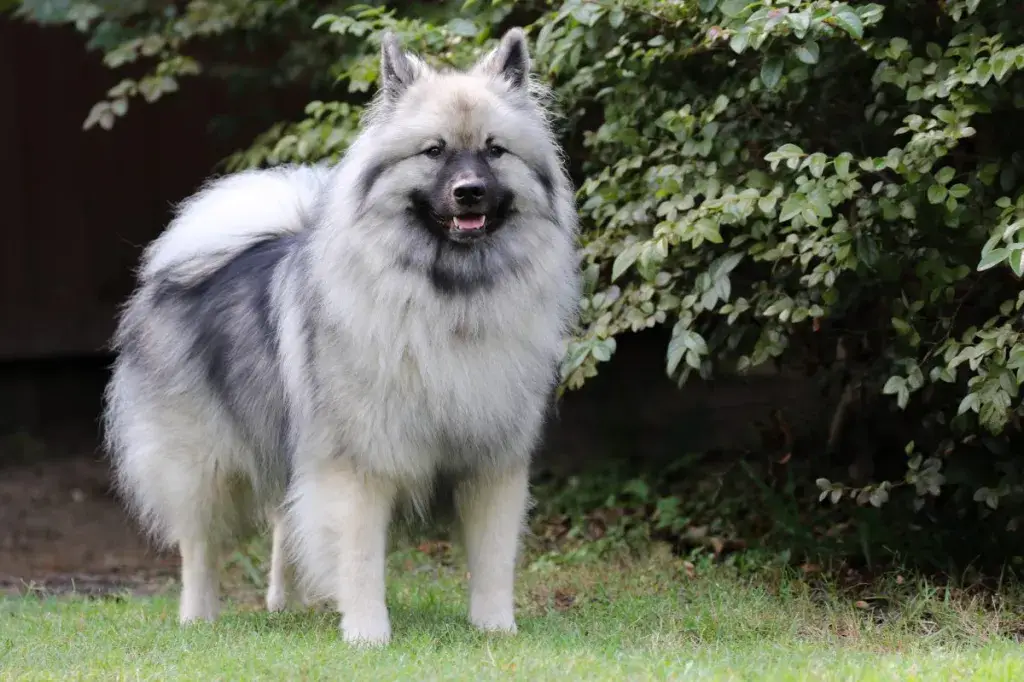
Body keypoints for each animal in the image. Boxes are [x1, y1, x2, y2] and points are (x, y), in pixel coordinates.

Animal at [104, 27, 585, 643]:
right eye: (434, 151)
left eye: (494, 150)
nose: (470, 191)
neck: (449, 299)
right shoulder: (358, 464)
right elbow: (359, 557)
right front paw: (366, 634)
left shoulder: (492, 461)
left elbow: (494, 558)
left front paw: (496, 628)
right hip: (202, 461)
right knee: (200, 545)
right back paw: (199, 617)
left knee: (284, 522)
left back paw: (285, 602)